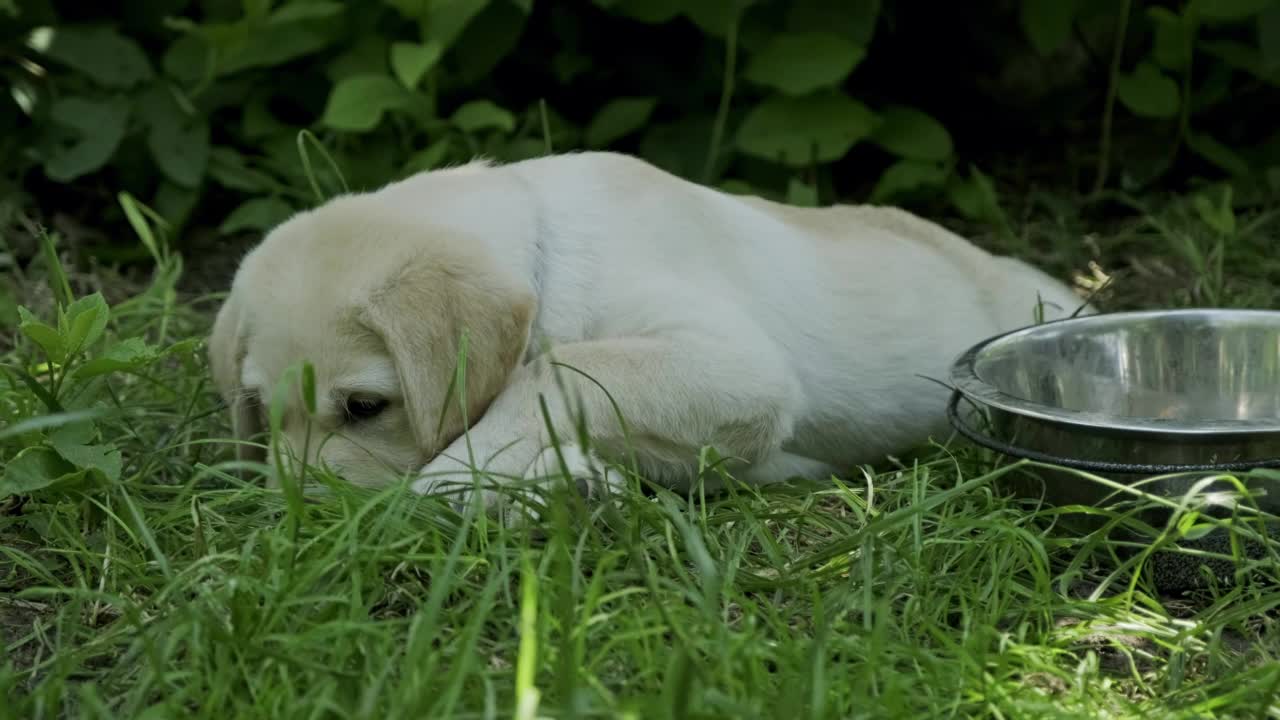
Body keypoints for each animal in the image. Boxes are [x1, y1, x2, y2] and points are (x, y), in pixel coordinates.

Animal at [207, 151, 1080, 504]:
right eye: (262, 414)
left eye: (365, 408)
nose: (300, 517)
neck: (548, 250)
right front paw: (561, 486)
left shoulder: (733, 367)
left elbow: (555, 370)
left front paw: (454, 477)